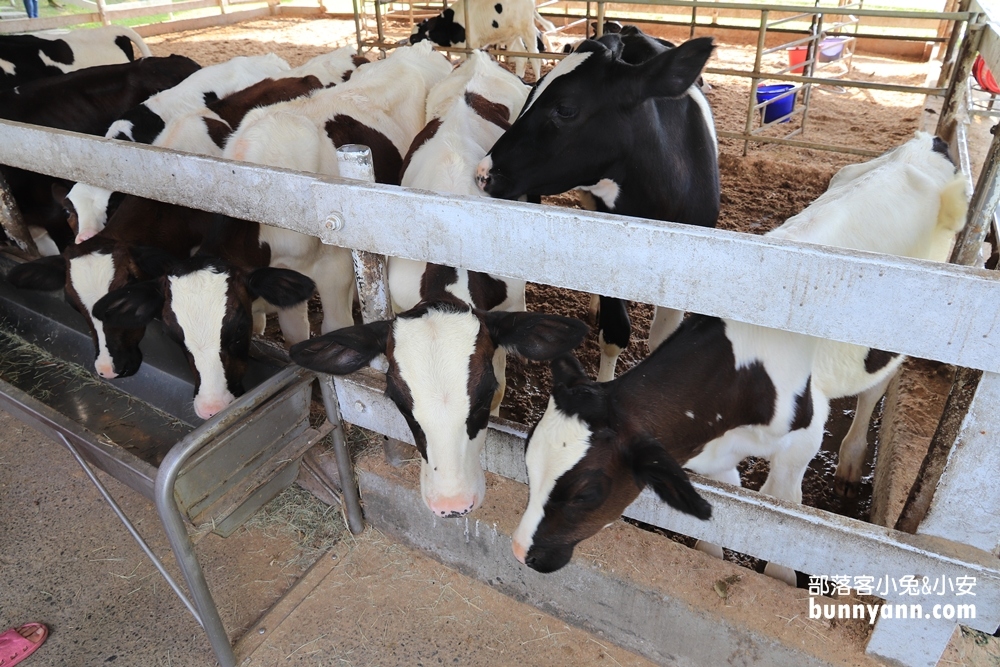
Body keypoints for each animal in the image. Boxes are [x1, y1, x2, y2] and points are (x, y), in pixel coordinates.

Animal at [508, 133, 968, 576]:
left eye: (586, 493)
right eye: (529, 462)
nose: (519, 552)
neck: (742, 370)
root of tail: (924, 141)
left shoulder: (800, 447)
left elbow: (784, 517)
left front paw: (781, 575)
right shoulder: (710, 450)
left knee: (875, 388)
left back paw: (850, 466)